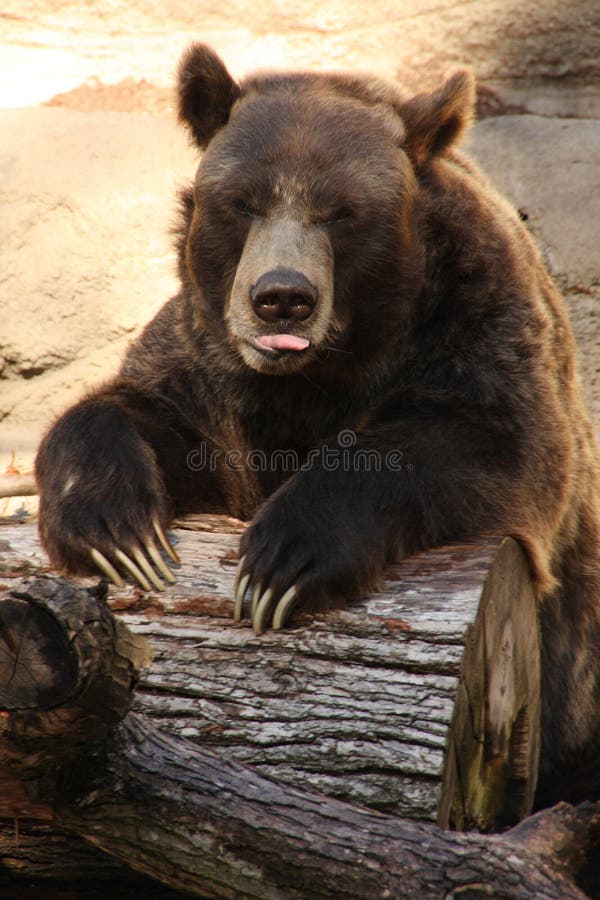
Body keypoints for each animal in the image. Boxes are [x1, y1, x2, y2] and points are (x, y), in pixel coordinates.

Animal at [36, 44, 600, 800]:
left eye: (342, 211)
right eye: (242, 201)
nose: (281, 297)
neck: (322, 373)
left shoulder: (478, 330)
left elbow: (491, 447)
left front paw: (282, 560)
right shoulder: (211, 371)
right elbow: (142, 416)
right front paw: (116, 530)